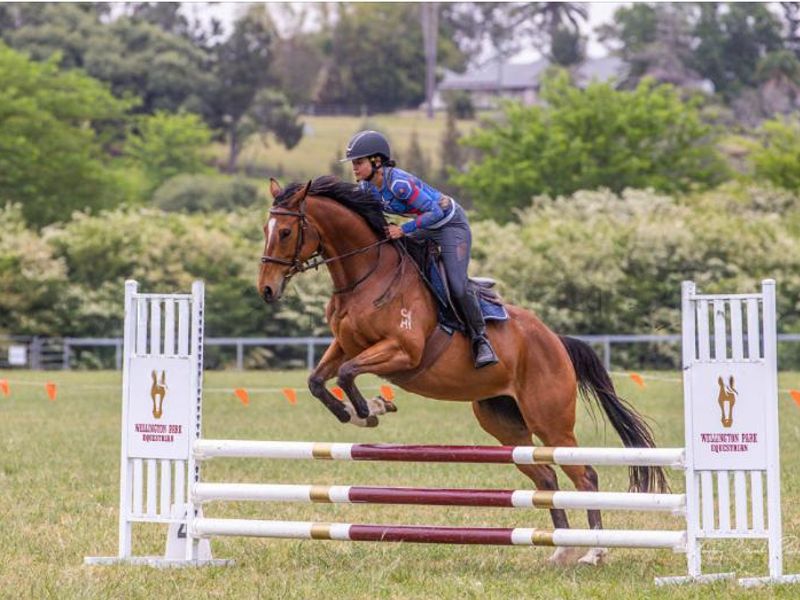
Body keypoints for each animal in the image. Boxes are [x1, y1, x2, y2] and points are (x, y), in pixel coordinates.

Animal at [257, 175, 668, 566]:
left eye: (285, 232)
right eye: (266, 228)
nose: (266, 289)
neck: (366, 276)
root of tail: (556, 341)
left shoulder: (403, 352)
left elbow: (346, 373)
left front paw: (370, 411)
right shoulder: (345, 345)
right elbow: (317, 380)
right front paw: (353, 413)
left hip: (551, 422)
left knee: (584, 475)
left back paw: (594, 552)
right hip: (504, 423)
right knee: (545, 475)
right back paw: (560, 550)